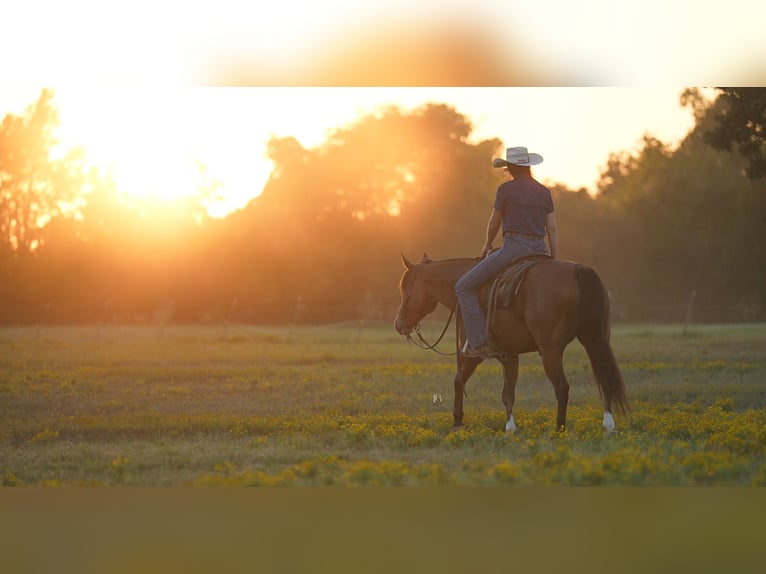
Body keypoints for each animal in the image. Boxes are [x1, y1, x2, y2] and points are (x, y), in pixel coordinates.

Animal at [394, 253, 629, 433]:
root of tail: (579, 270)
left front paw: (457, 421)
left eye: (405, 290)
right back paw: (608, 424)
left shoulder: (473, 353)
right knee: (604, 376)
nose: (398, 324)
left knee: (562, 387)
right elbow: (508, 393)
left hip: (551, 351)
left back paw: (558, 429)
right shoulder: (509, 355)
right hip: (595, 341)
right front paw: (510, 427)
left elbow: (458, 380)